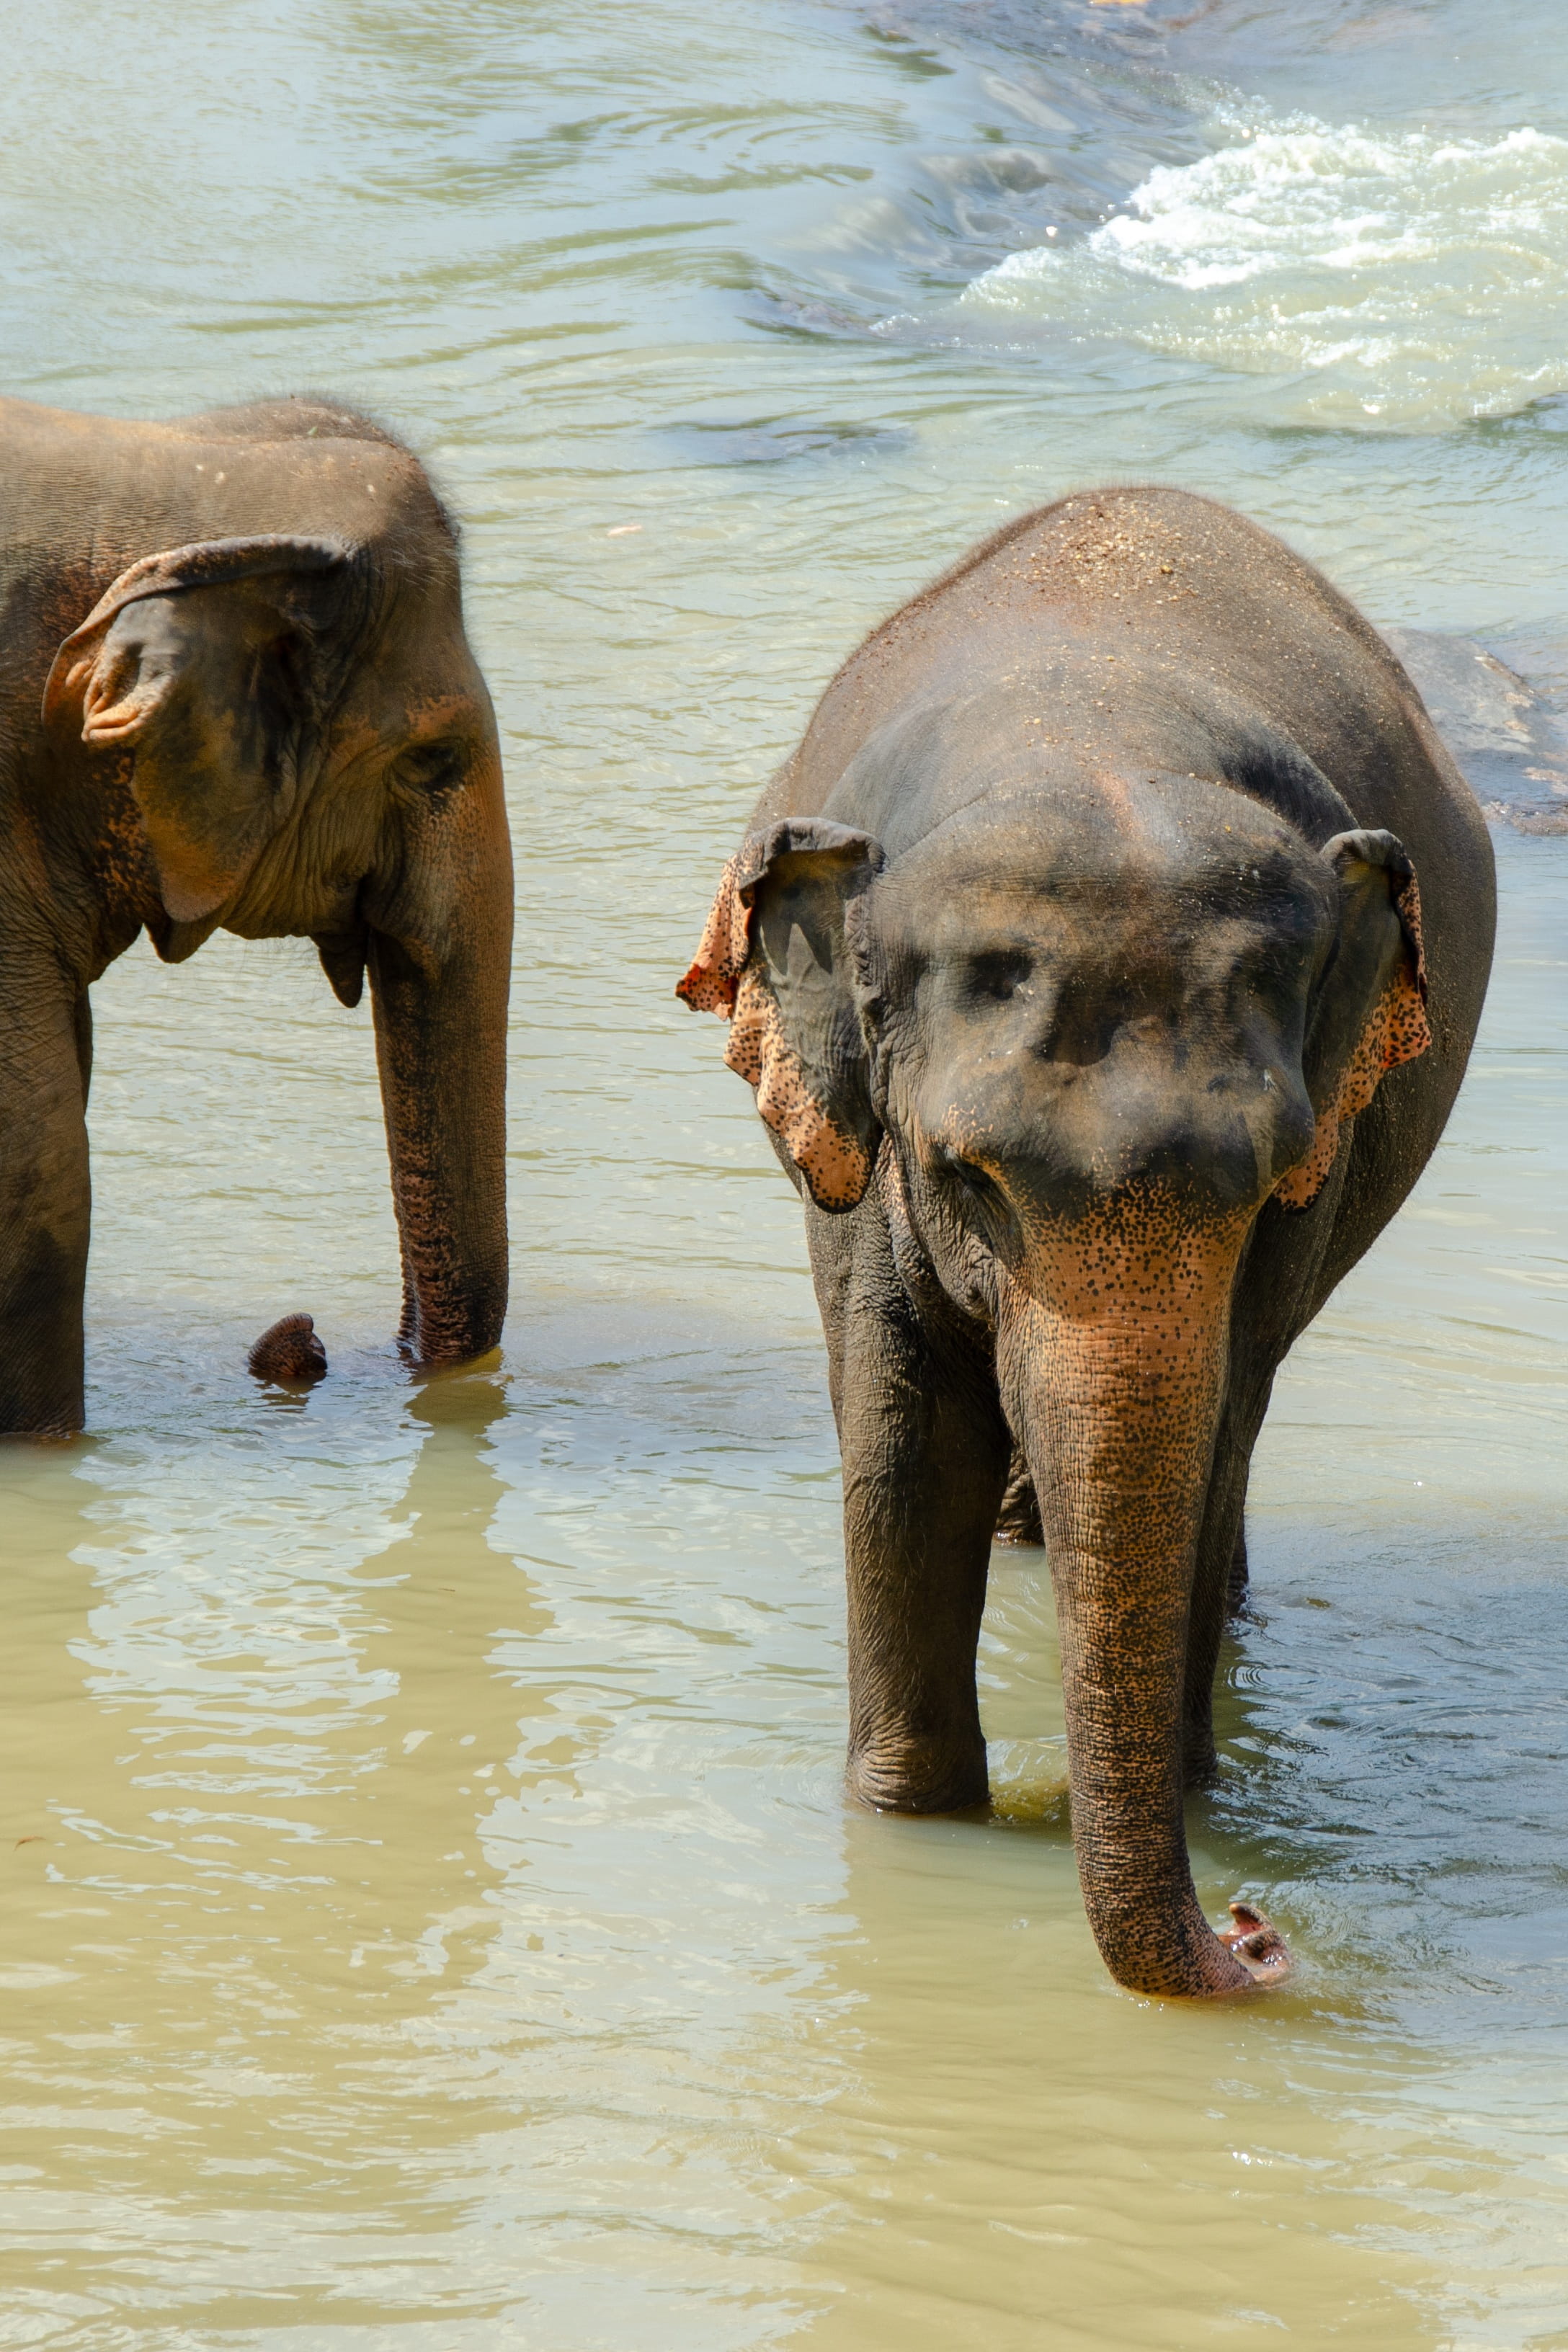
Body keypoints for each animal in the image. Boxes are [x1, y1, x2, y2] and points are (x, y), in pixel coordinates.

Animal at [680, 487, 1495, 1999]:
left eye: (1269, 1181)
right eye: (967, 1173)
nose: (1256, 1928)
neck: (1090, 743)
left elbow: (1217, 1417)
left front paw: (1188, 1785)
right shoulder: (864, 1155)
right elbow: (903, 1430)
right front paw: (911, 1814)